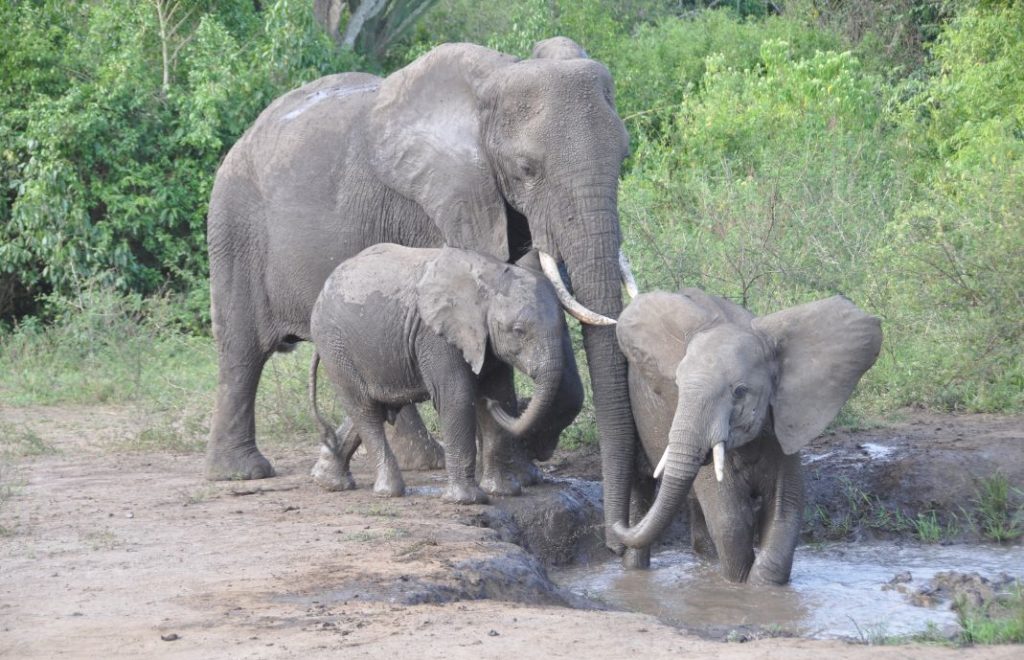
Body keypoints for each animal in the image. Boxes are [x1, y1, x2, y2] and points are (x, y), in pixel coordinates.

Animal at [606, 288, 880, 581]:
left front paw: (760, 583)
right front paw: (737, 583)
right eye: (676, 386)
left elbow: (785, 506)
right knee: (644, 485)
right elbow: (730, 520)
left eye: (739, 391)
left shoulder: (783, 422)